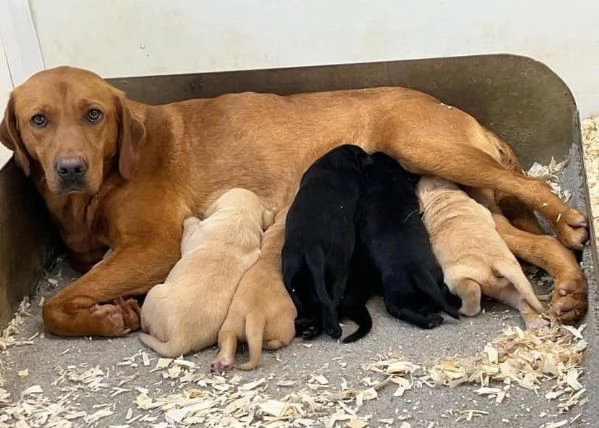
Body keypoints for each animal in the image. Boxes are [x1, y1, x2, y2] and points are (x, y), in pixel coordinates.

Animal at [139, 189, 274, 356]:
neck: (240, 217)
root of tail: (180, 340)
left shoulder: (192, 236)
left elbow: (189, 231)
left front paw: (190, 219)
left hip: (153, 293)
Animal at [282, 145, 370, 340]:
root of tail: (311, 247)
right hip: (339, 271)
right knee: (332, 301)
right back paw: (332, 328)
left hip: (292, 280)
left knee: (313, 308)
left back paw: (310, 329)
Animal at [354, 150, 462, 328]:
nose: (377, 151)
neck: (387, 179)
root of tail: (419, 273)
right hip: (433, 278)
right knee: (438, 294)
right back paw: (431, 316)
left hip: (394, 293)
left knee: (398, 309)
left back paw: (430, 320)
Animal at [418, 176, 548, 330]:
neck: (442, 196)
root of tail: (497, 263)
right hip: (508, 287)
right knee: (522, 301)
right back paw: (536, 323)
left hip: (457, 279)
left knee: (473, 296)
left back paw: (462, 311)